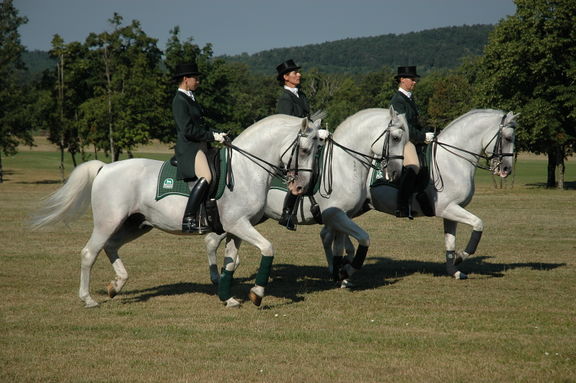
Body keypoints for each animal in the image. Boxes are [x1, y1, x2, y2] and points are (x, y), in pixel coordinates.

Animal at [31, 115, 322, 308]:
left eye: (318, 151)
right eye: (305, 149)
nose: (301, 186)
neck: (246, 170)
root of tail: (105, 167)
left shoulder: (237, 228)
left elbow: (230, 262)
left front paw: (228, 297)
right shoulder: (238, 224)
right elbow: (268, 249)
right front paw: (257, 294)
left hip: (136, 224)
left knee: (111, 246)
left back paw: (117, 285)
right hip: (108, 221)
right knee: (89, 253)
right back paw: (88, 299)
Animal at [207, 108, 410, 284]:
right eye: (396, 138)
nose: (396, 173)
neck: (343, 166)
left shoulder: (342, 217)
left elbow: (341, 246)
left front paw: (341, 274)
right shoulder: (335, 216)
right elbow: (361, 238)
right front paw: (344, 272)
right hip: (238, 218)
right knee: (211, 240)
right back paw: (218, 277)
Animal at [324, 109, 516, 280]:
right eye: (508, 138)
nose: (507, 169)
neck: (453, 160)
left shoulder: (451, 212)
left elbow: (450, 242)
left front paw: (454, 270)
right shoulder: (448, 208)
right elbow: (478, 224)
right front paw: (462, 255)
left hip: (355, 208)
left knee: (329, 233)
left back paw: (342, 264)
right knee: (328, 234)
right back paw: (340, 267)